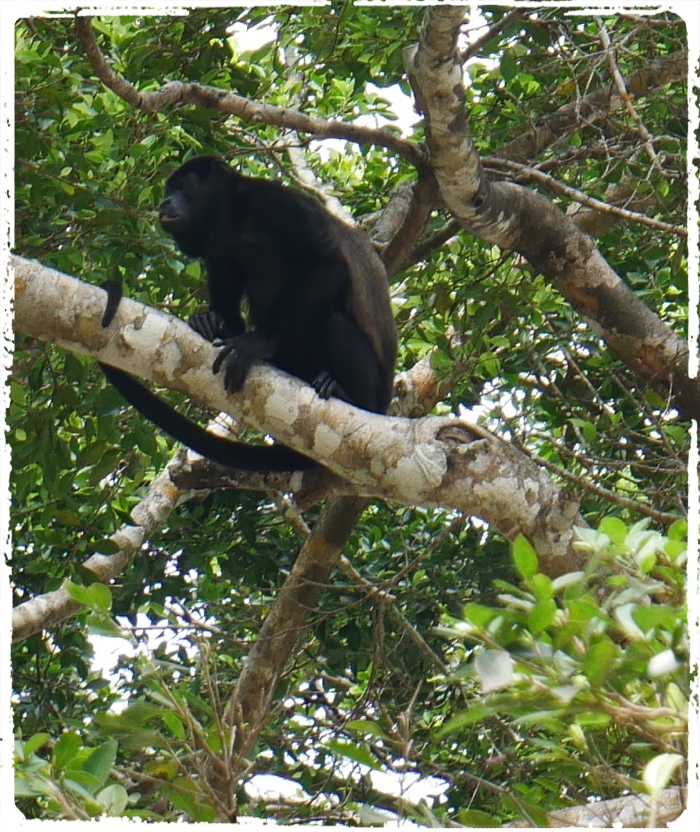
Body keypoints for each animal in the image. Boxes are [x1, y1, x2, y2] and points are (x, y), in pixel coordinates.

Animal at [99, 154, 396, 472]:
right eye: (169, 189)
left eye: (183, 186)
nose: (165, 201)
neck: (235, 219)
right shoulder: (218, 248)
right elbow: (231, 315)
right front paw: (210, 321)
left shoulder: (275, 203)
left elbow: (328, 262)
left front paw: (259, 343)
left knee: (336, 323)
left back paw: (345, 394)